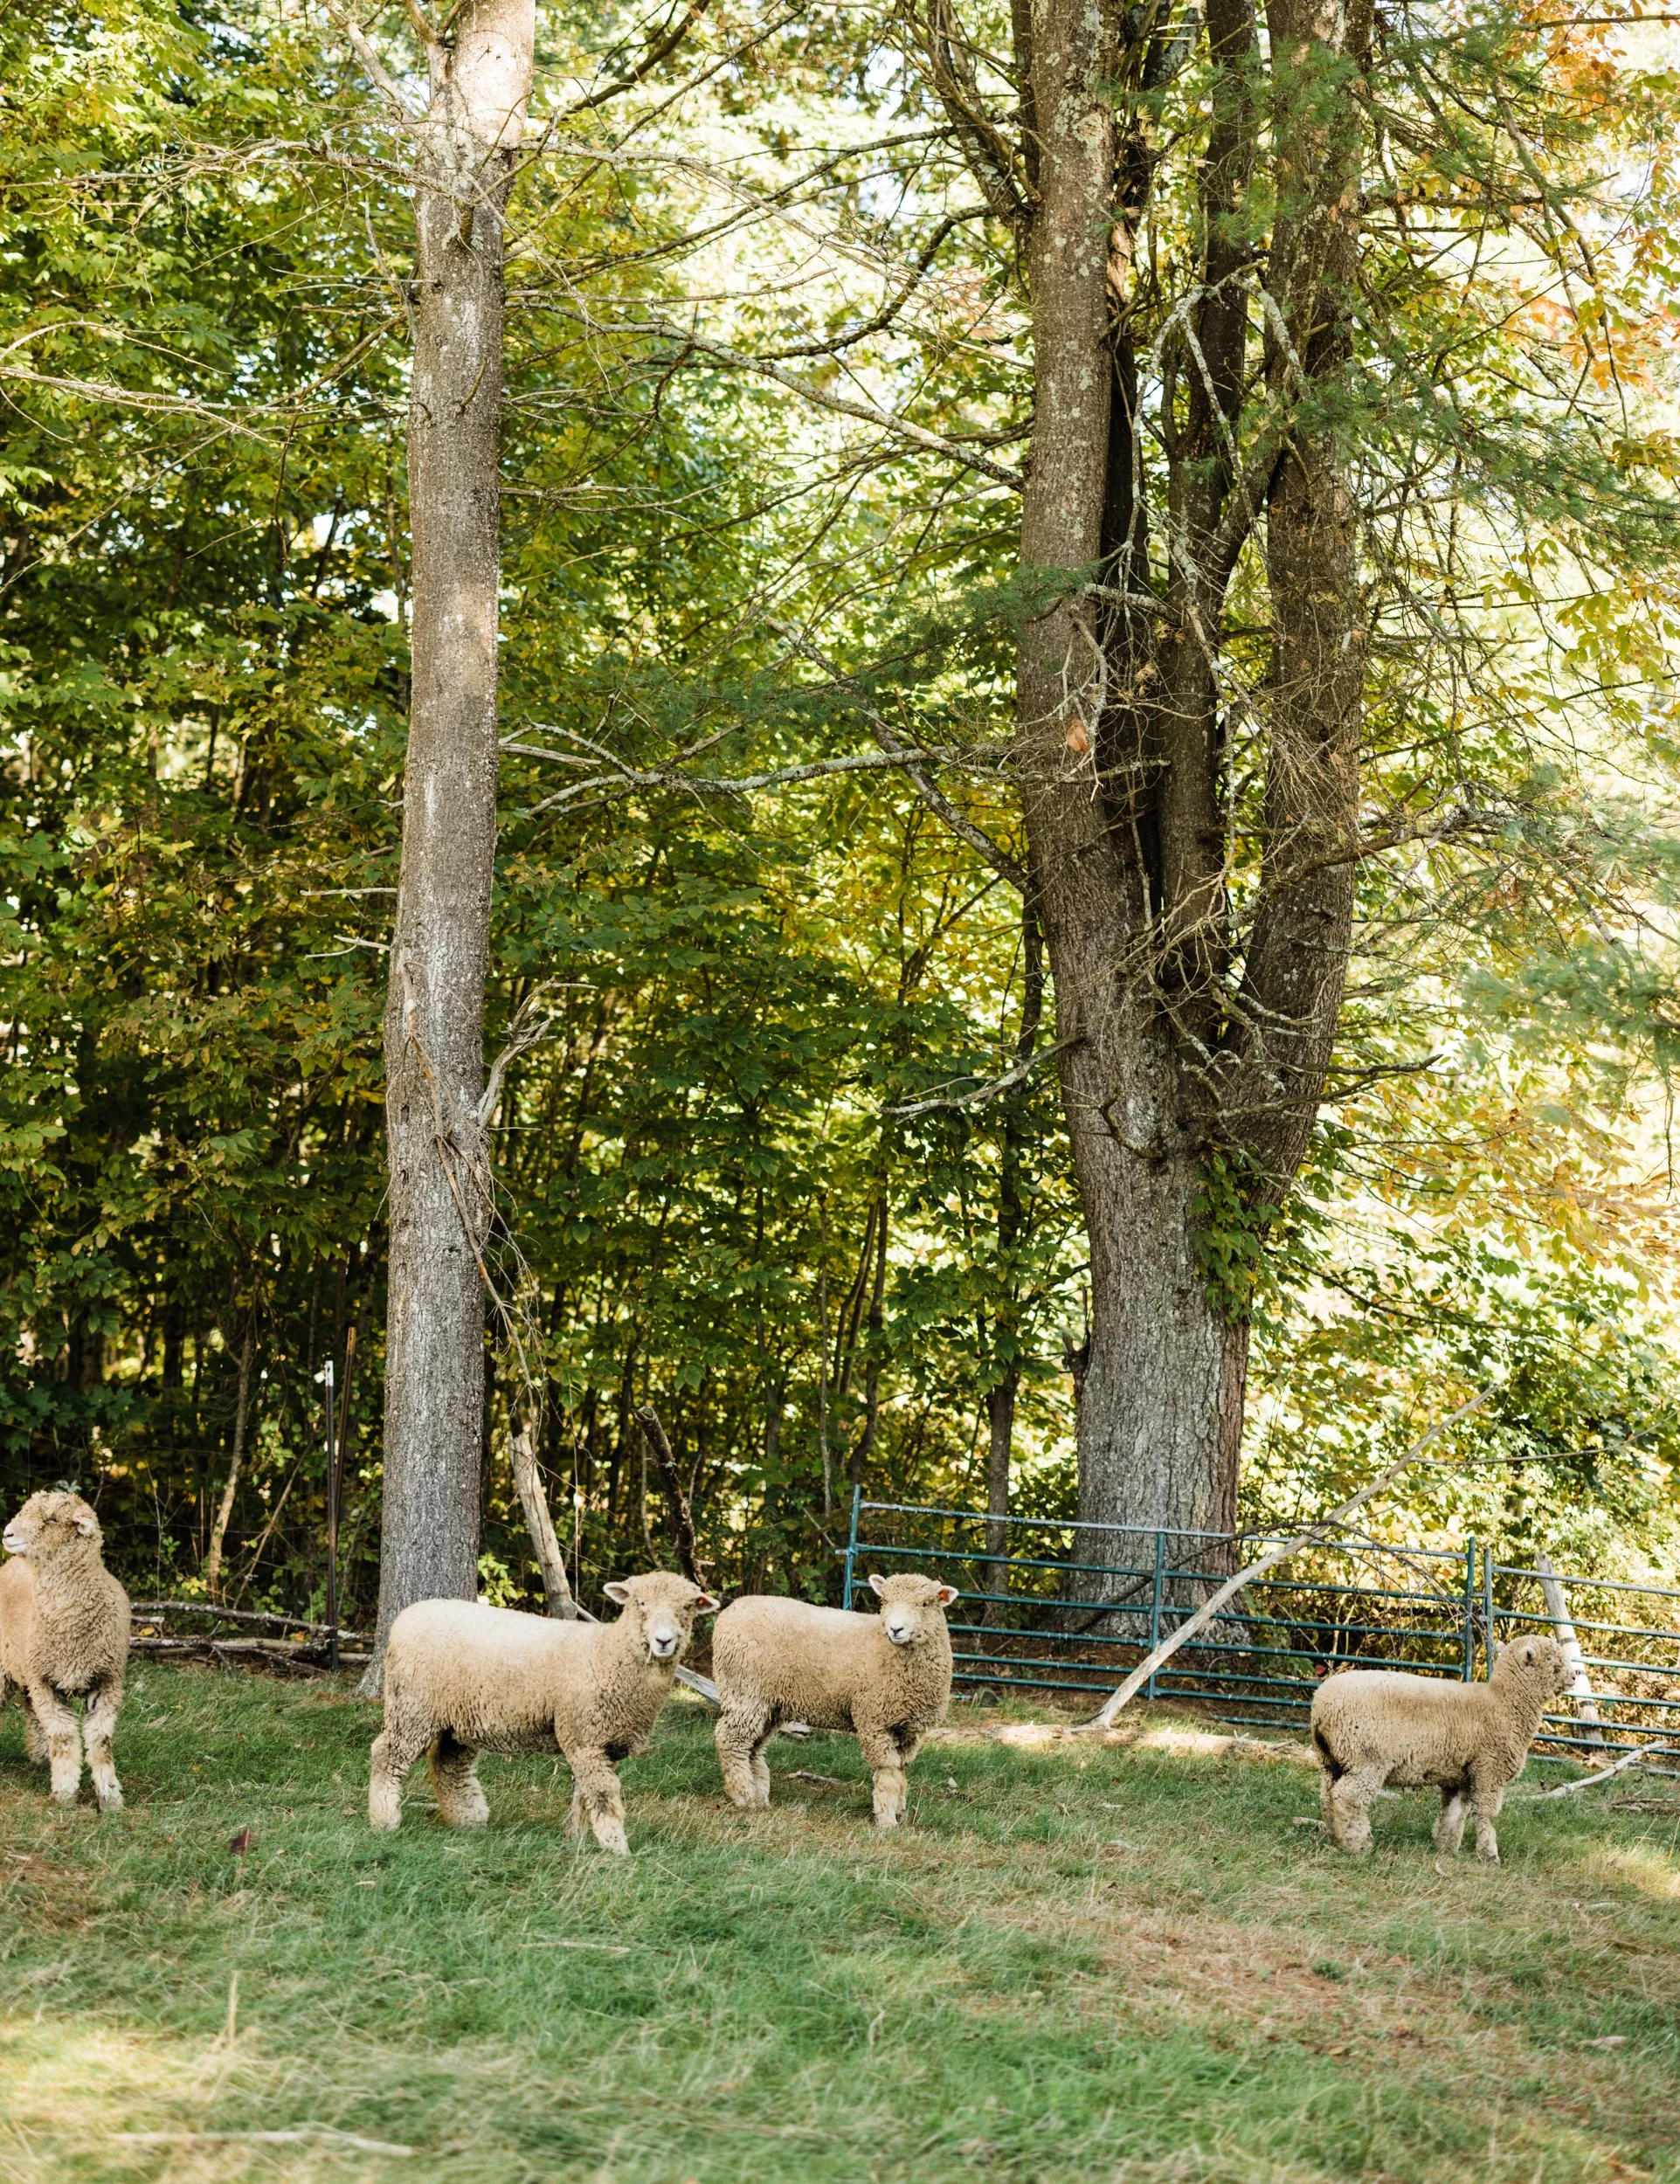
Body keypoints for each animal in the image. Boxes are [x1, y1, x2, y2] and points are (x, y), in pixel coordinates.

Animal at [0, 1490, 131, 1811]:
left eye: (52, 1520)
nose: (7, 1533)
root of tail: (9, 1566)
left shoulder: (107, 1683)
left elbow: (100, 1743)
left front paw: (110, 1798)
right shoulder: (45, 1682)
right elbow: (64, 1739)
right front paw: (65, 1794)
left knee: (30, 1709)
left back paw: (39, 1756)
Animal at [368, 1571, 717, 1852]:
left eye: (687, 1607)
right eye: (640, 1603)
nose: (663, 1641)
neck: (608, 1653)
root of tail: (404, 1617)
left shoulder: (597, 1742)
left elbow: (583, 1794)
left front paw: (573, 1839)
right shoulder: (585, 1736)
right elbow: (603, 1795)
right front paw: (616, 1847)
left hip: (458, 1717)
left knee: (447, 1762)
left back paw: (468, 1819)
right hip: (413, 1706)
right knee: (387, 1754)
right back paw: (385, 1820)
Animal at [712, 1572, 958, 1828]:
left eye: (925, 1604)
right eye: (886, 1601)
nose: (895, 1629)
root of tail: (731, 1610)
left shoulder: (909, 1731)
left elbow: (900, 1771)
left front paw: (899, 1809)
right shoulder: (874, 1721)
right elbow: (888, 1773)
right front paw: (887, 1820)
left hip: (770, 1704)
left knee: (754, 1747)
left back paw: (759, 1795)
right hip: (745, 1691)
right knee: (731, 1740)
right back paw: (743, 1795)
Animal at [1310, 1634, 1570, 1860]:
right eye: (1551, 1659)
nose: (1575, 1674)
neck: (1503, 1702)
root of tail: (1322, 1705)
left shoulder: (1461, 1775)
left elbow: (1453, 1813)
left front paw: (1446, 1848)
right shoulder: (1489, 1770)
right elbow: (1486, 1815)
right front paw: (1489, 1853)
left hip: (1331, 1758)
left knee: (1327, 1796)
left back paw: (1335, 1836)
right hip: (1366, 1758)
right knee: (1347, 1798)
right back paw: (1358, 1845)